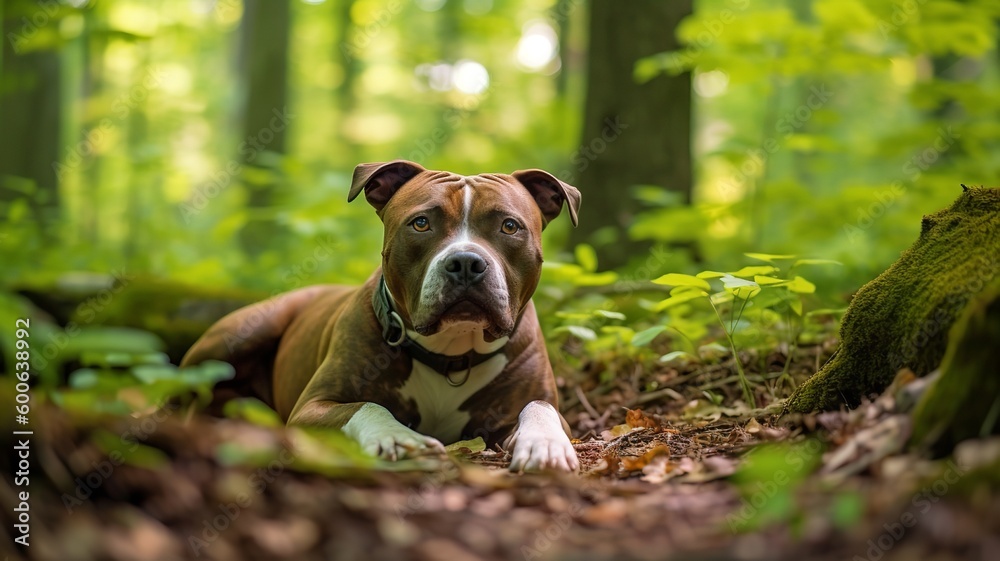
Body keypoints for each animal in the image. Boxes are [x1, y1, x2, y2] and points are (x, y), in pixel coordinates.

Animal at [184, 160, 584, 470]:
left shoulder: (536, 404)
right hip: (241, 333)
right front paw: (398, 437)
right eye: (421, 223)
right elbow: (368, 406)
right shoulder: (312, 406)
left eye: (510, 226)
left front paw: (545, 444)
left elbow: (539, 407)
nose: (466, 263)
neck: (451, 353)